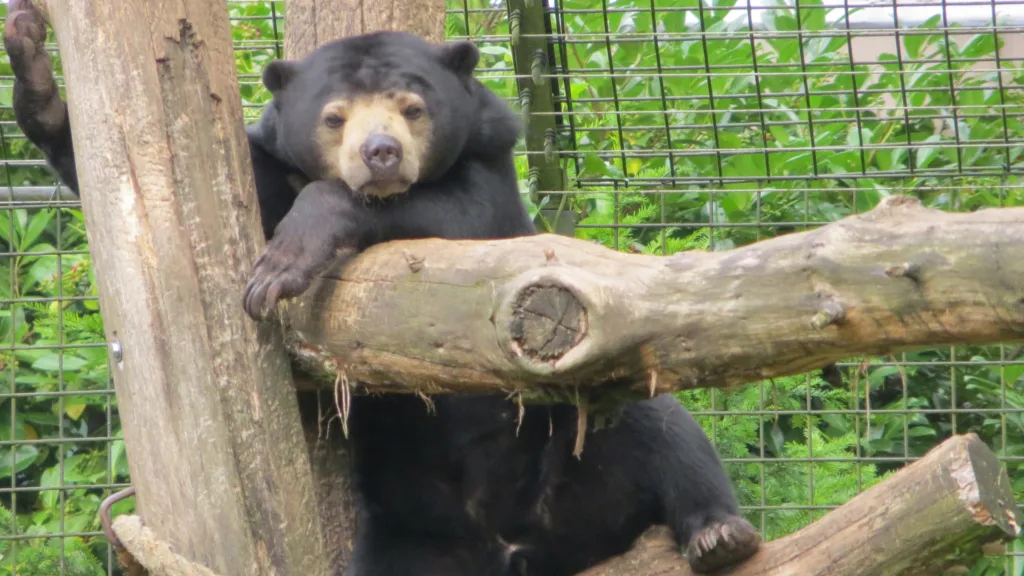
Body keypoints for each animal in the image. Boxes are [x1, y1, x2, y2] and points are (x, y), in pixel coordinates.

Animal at [2, 3, 762, 575]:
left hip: (580, 439)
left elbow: (460, 219)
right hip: (409, 537)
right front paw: (30, 59)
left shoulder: (490, 166)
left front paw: (282, 265)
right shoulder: (268, 169)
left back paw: (720, 536)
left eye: (412, 107)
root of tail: (519, 545)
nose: (381, 154)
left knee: (667, 431)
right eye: (334, 115)